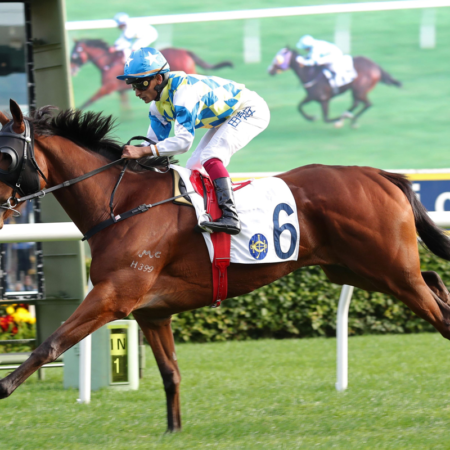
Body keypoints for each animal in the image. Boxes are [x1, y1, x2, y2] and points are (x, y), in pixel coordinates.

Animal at [0, 99, 450, 432]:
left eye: (4, 155)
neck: (124, 204)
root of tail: (381, 174)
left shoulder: (113, 297)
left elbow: (51, 343)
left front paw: (4, 386)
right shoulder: (151, 311)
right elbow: (170, 373)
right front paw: (173, 431)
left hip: (389, 270)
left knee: (438, 312)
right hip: (357, 269)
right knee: (432, 279)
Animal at [70, 40, 234, 110]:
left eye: (74, 54)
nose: (71, 69)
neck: (108, 61)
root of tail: (185, 51)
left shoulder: (107, 88)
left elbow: (89, 101)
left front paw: (76, 111)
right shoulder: (120, 91)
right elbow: (124, 106)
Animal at [268, 46, 402, 127]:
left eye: (278, 58)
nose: (269, 70)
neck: (310, 73)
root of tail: (375, 66)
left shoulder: (324, 100)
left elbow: (326, 118)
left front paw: (338, 120)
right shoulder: (311, 97)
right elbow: (299, 107)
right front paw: (311, 118)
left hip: (359, 89)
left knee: (366, 104)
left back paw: (349, 119)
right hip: (357, 91)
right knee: (358, 103)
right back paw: (350, 118)